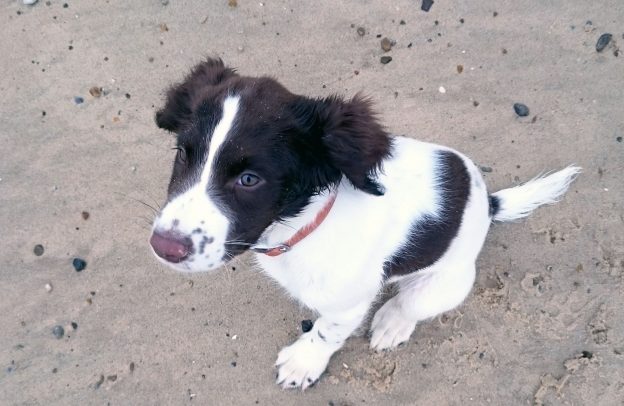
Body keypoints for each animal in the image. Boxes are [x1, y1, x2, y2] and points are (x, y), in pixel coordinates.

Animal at [150, 58, 580, 390]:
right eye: (183, 153)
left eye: (250, 179)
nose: (164, 248)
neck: (301, 228)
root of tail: (488, 203)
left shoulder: (348, 303)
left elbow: (326, 332)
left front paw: (304, 363)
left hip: (448, 283)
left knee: (411, 303)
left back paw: (393, 323)